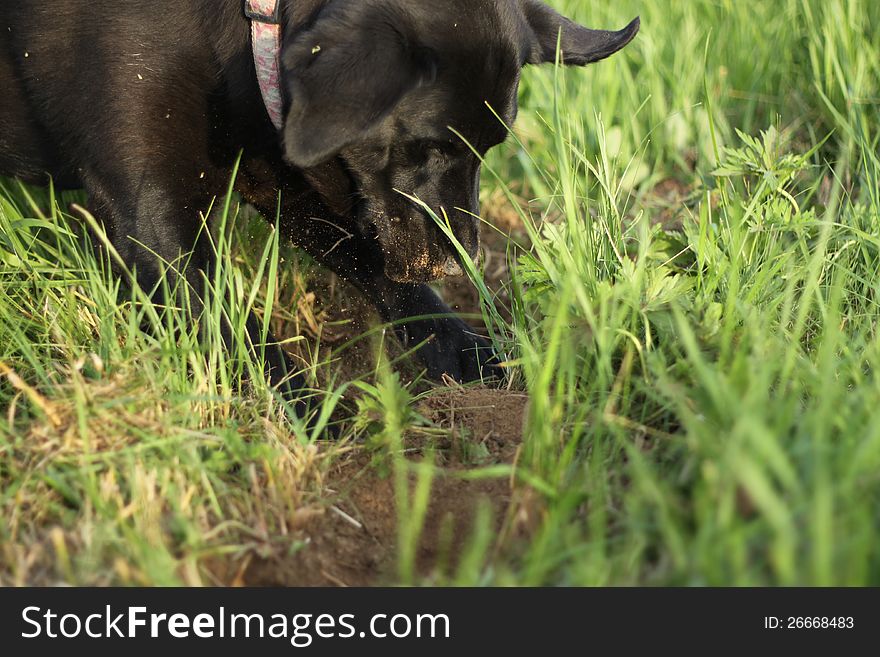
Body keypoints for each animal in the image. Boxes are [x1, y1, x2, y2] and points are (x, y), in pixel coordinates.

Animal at [0, 0, 636, 408]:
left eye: (492, 146)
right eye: (430, 146)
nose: (463, 263)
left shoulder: (286, 177)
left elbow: (379, 270)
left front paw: (464, 350)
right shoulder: (149, 218)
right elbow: (233, 329)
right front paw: (306, 408)